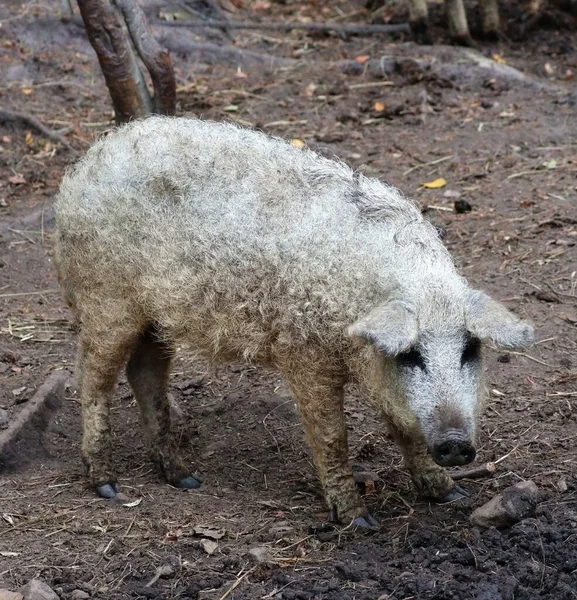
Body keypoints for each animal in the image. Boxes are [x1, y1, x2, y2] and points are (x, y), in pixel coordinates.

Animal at [51, 115, 532, 528]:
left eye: (470, 350)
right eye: (412, 355)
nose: (455, 443)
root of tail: (91, 158)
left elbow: (404, 427)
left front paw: (450, 494)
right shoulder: (304, 354)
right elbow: (331, 434)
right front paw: (358, 520)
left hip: (155, 316)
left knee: (144, 372)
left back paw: (185, 478)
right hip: (105, 298)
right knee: (92, 377)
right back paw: (107, 485)